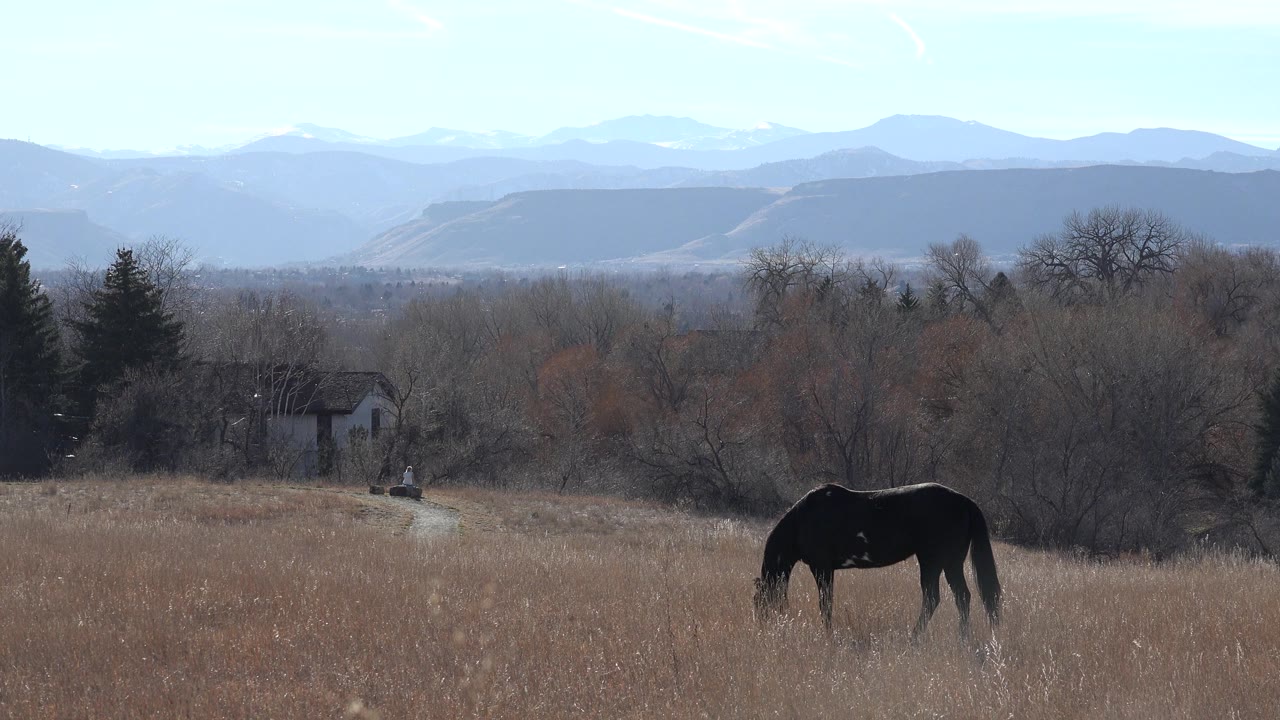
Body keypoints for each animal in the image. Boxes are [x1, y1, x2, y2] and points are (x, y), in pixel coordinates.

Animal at [752, 482, 1001, 639]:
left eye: (759, 602)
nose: (765, 628)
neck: (803, 519)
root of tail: (964, 501)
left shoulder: (821, 568)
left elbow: (826, 603)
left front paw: (828, 633)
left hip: (932, 562)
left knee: (933, 599)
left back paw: (914, 637)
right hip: (952, 563)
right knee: (963, 597)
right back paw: (963, 637)